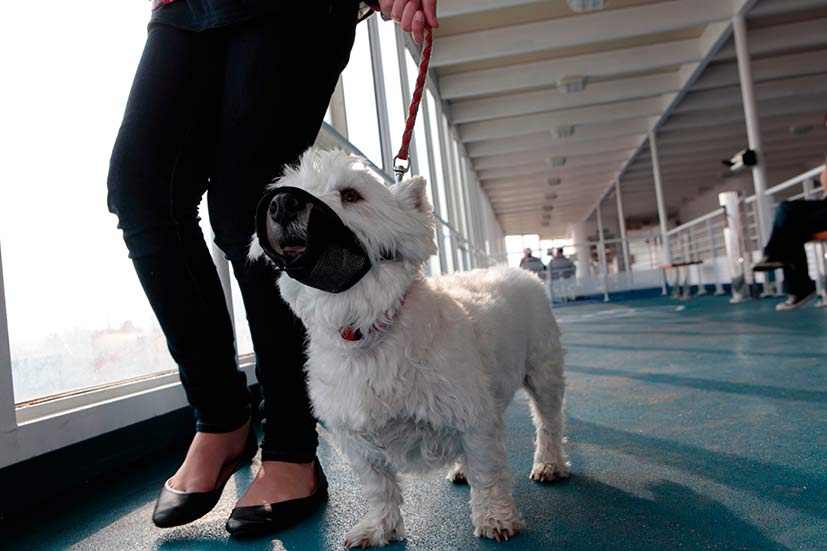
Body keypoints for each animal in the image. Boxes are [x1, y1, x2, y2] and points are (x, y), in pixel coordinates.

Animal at [247, 150, 568, 548]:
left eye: (351, 195)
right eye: (286, 191)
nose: (281, 205)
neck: (365, 331)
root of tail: (520, 272)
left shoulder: (475, 415)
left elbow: (489, 473)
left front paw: (495, 518)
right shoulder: (356, 438)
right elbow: (379, 488)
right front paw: (378, 528)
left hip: (542, 371)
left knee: (549, 421)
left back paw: (549, 463)